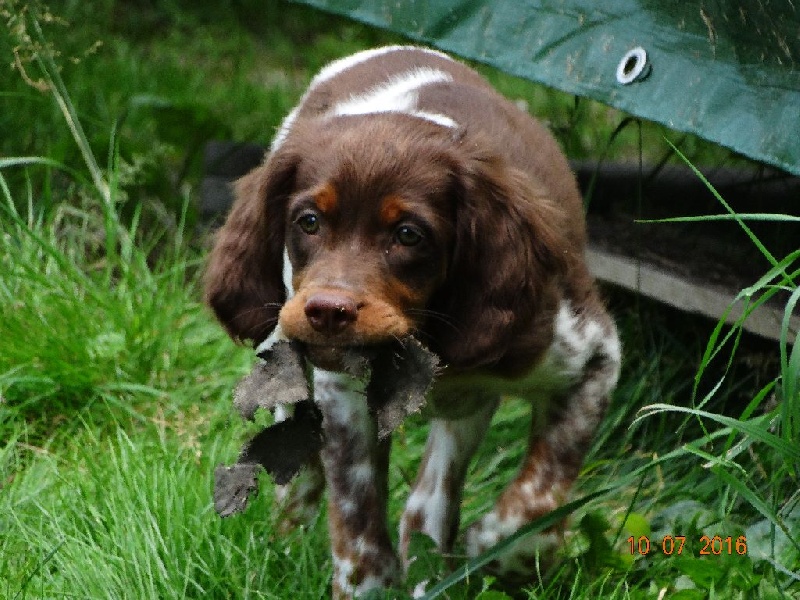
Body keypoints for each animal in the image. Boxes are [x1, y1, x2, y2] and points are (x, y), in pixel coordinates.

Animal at [205, 45, 621, 598]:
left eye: (408, 235)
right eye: (308, 221)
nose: (327, 311)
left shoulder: (592, 360)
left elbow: (541, 495)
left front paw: (498, 551)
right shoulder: (344, 394)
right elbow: (357, 518)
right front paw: (364, 582)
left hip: (469, 407)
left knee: (427, 507)